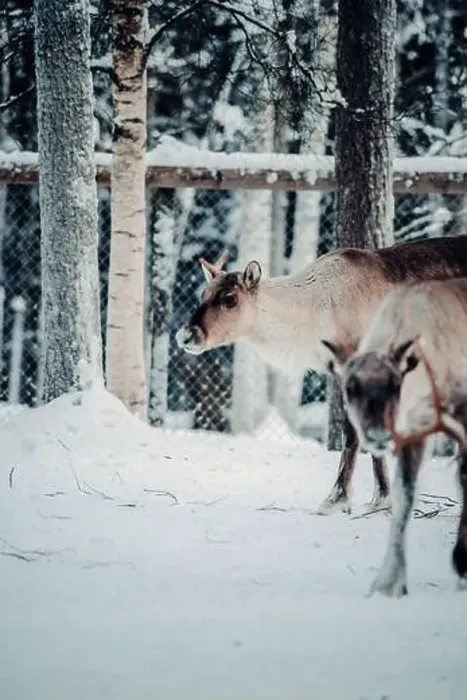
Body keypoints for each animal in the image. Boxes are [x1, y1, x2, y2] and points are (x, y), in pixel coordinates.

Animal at [176, 235, 467, 516]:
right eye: (203, 294)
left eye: (229, 299)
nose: (186, 335)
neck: (313, 318)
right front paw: (381, 499)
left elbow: (353, 431)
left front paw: (336, 499)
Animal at [322, 277, 467, 597]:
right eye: (349, 388)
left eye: (395, 383)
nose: (377, 434)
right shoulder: (414, 433)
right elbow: (403, 497)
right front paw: (389, 583)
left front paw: (461, 563)